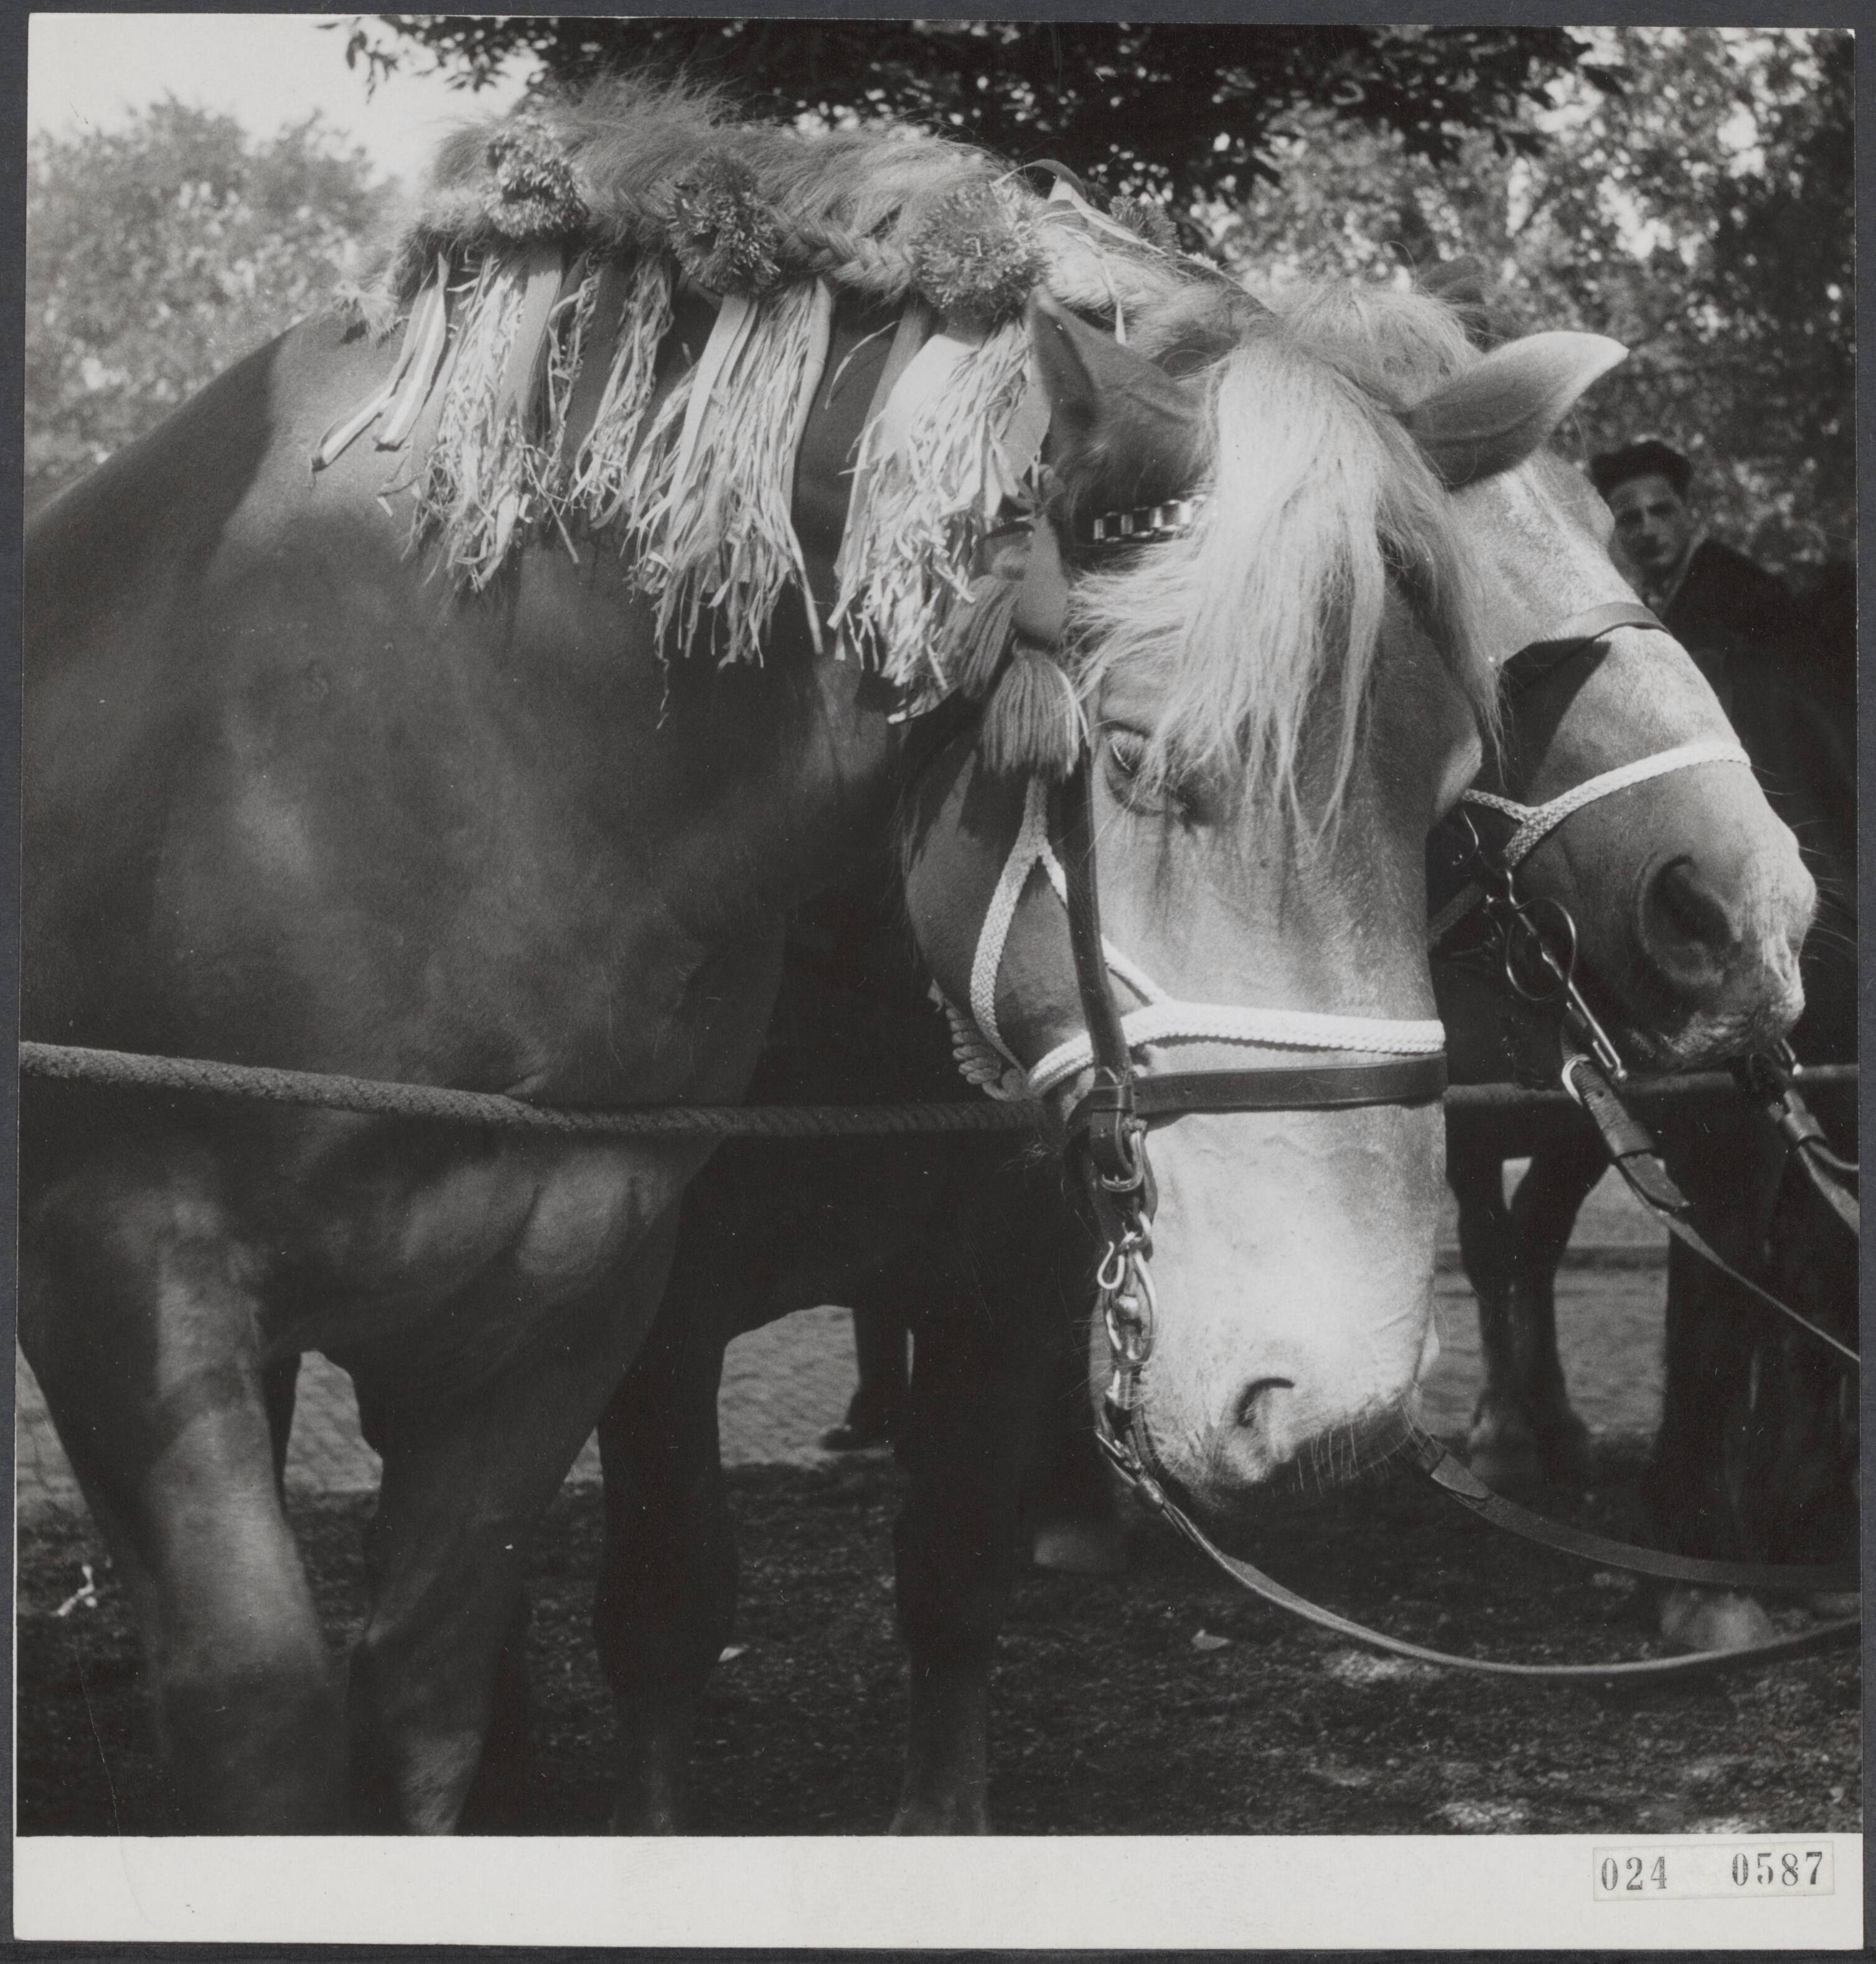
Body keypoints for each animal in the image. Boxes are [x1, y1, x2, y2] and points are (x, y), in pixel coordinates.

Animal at [21, 80, 1525, 1833]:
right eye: (1141, 757)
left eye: (1446, 792)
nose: (1339, 1395)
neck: (422, 777)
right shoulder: (127, 1269)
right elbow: (310, 1691)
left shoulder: (590, 1296)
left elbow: (448, 1680)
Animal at [586, 275, 1819, 1832]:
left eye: (1613, 537)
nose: (1744, 899)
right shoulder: (648, 1309)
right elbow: (663, 1601)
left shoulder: (1001, 1270)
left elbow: (948, 1567)